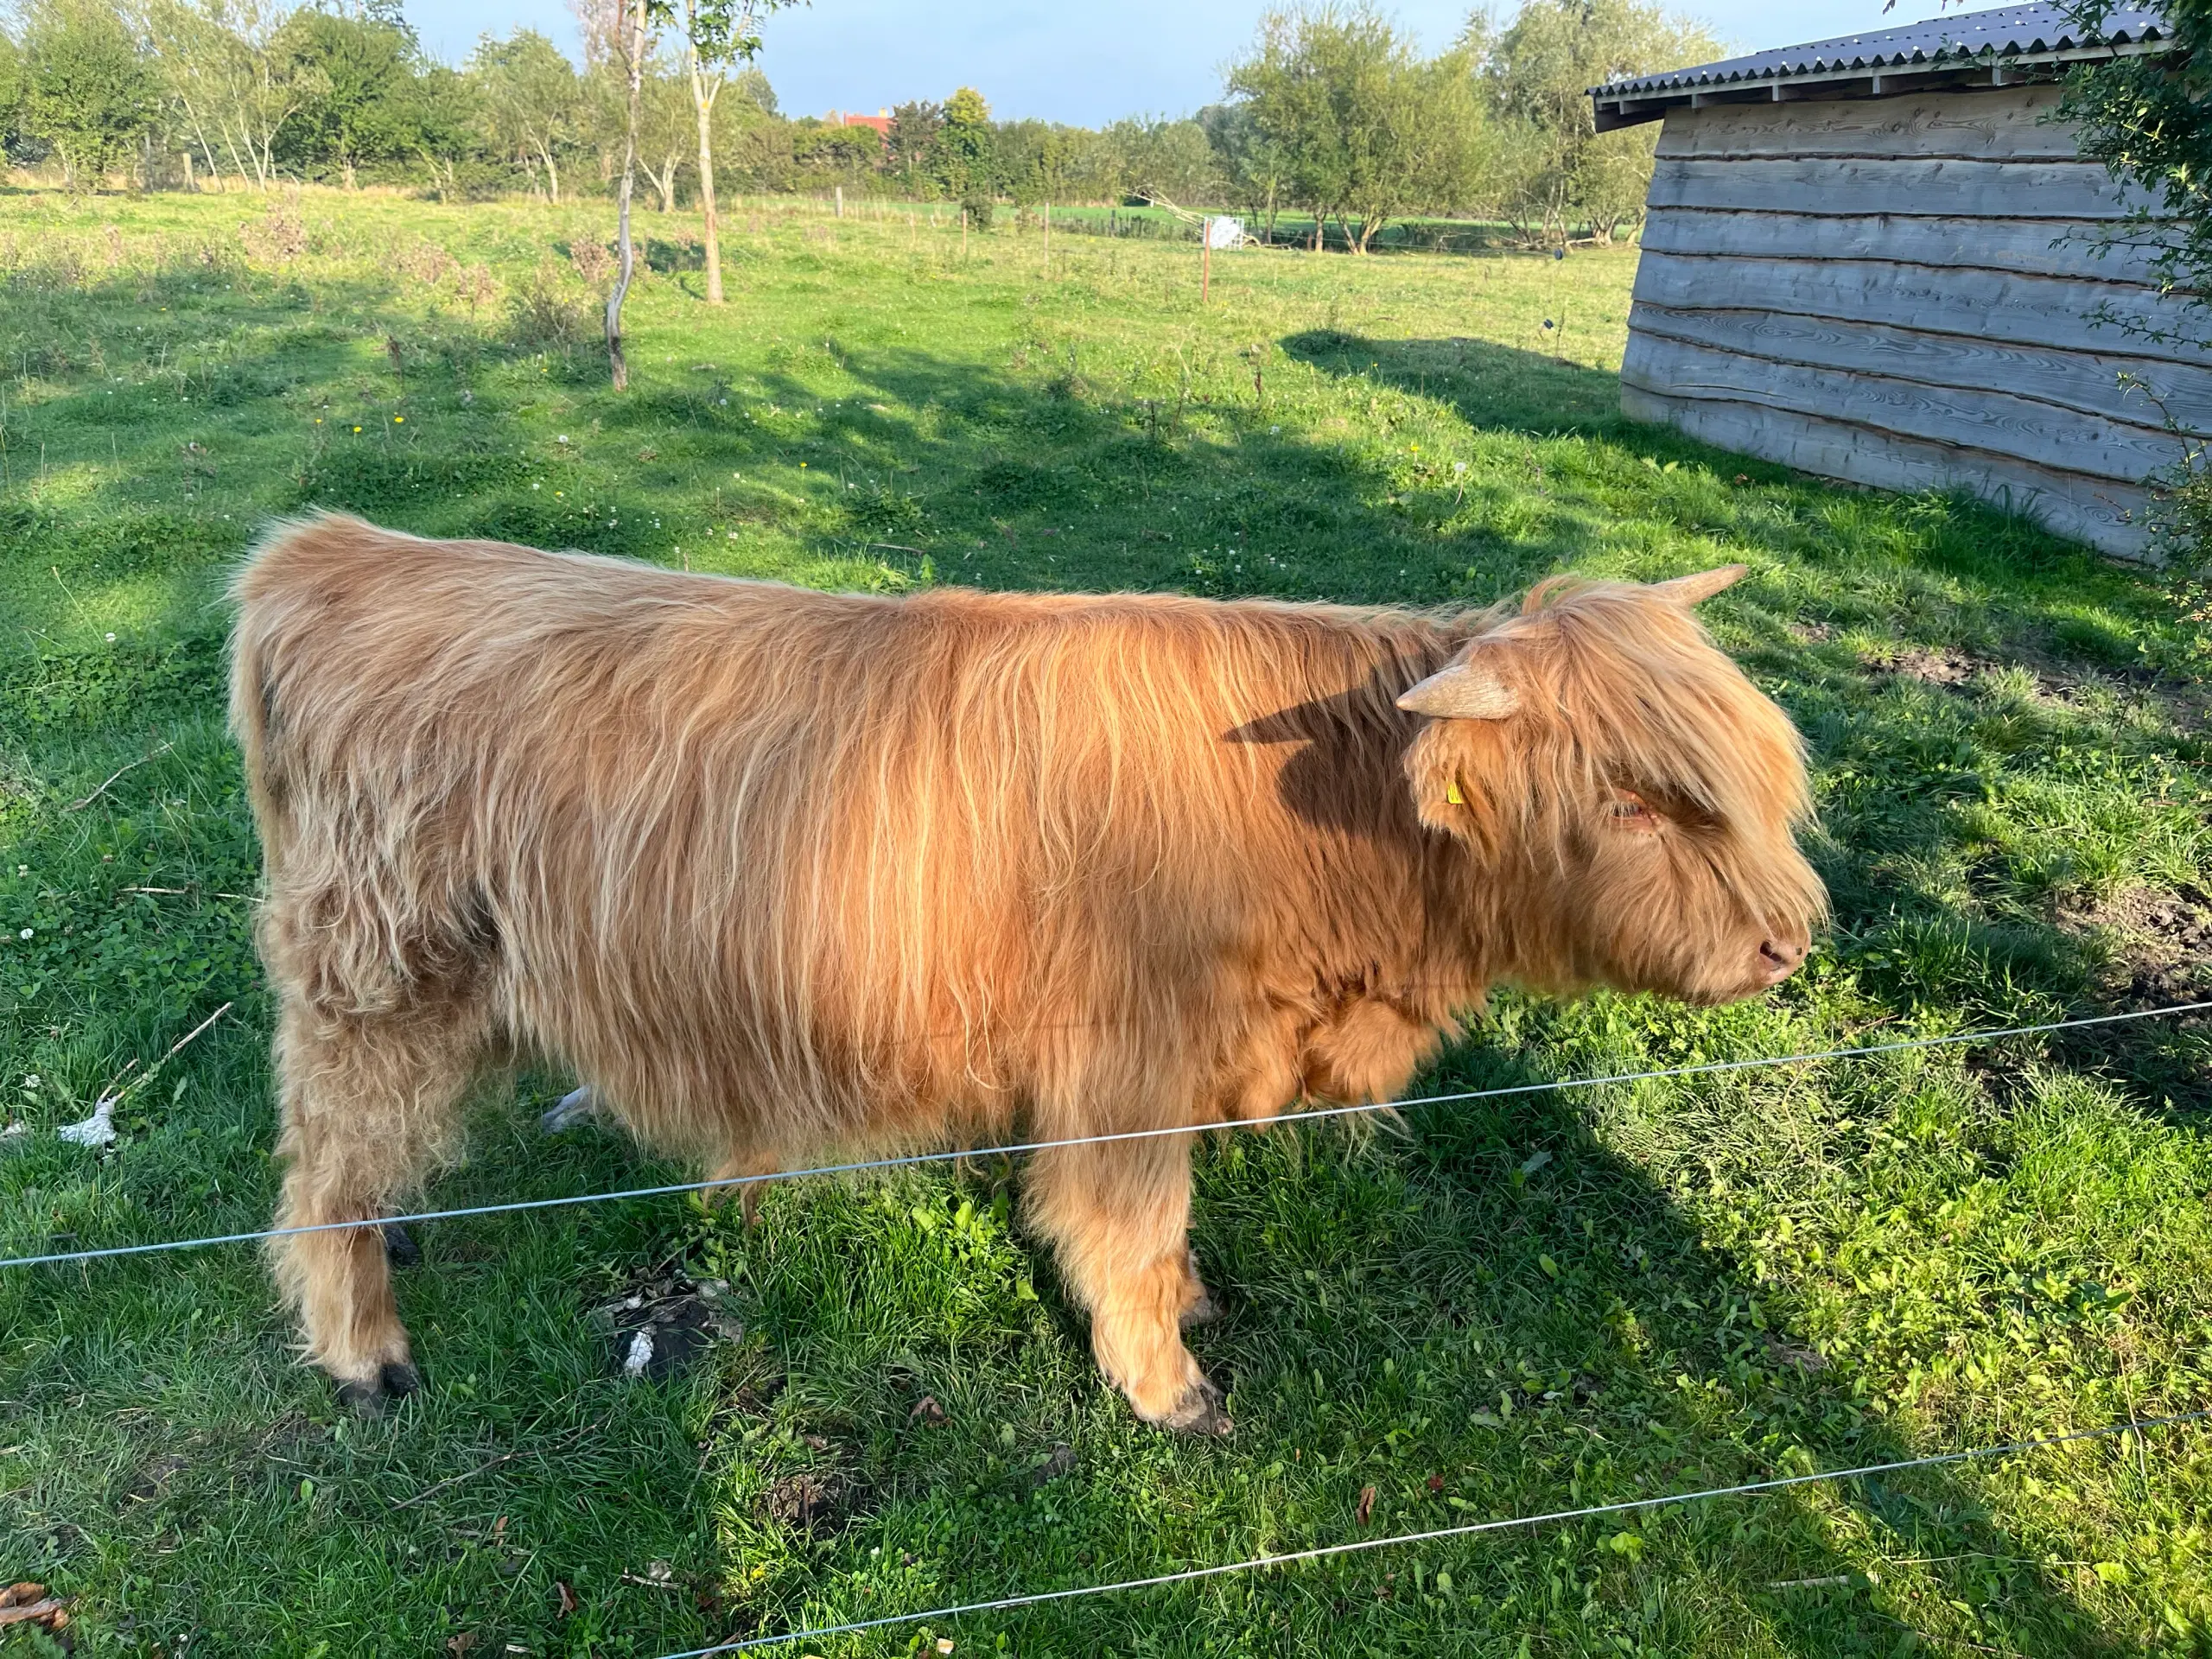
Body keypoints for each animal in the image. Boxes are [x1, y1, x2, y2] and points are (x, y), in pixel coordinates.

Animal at [224, 518, 1822, 1433]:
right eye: (1632, 801)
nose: (1786, 943)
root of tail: (330, 549)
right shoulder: (1126, 1064)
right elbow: (1131, 1228)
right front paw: (1166, 1385)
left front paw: (1181, 1325)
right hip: (378, 970)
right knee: (326, 1159)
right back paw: (366, 1347)